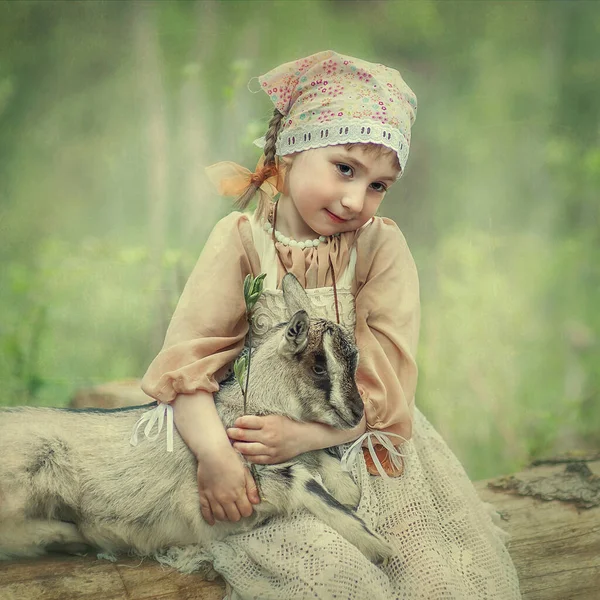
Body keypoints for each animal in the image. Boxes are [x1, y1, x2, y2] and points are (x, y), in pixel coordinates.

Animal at [0, 274, 394, 564]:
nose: (358, 412)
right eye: (318, 367)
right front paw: (379, 548)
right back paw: (66, 535)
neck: (240, 409)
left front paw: (349, 489)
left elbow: (323, 463)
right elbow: (305, 482)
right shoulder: (224, 502)